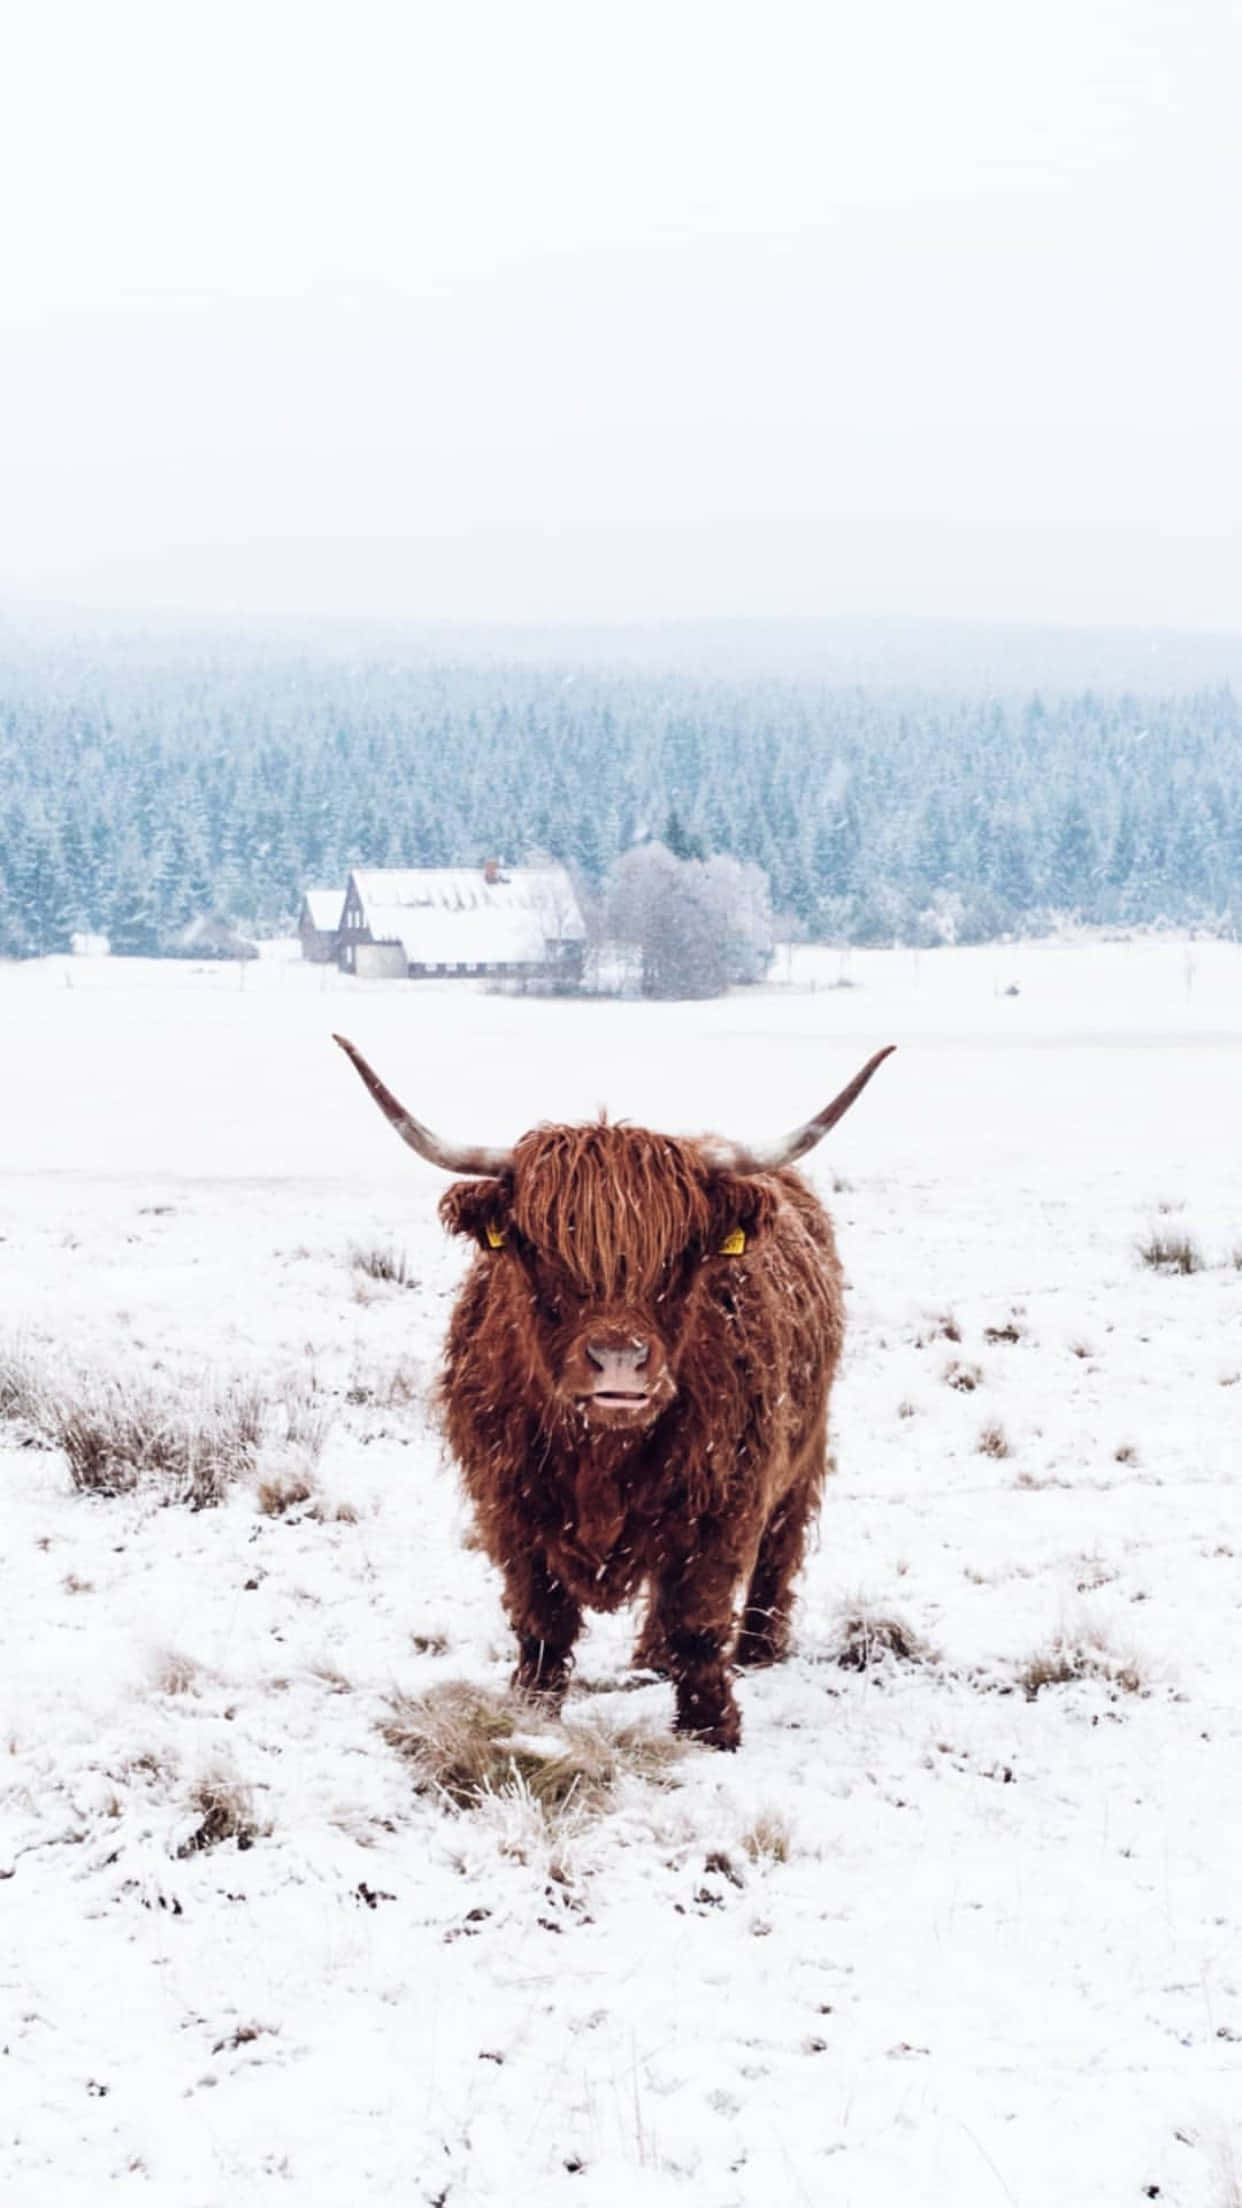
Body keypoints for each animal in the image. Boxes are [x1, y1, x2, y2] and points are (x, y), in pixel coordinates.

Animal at [334, 1034, 895, 1749]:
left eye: (682, 1256)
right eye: (542, 1251)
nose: (621, 1362)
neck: (601, 1454)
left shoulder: (725, 1497)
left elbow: (698, 1616)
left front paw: (711, 1728)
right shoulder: (508, 1501)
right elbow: (542, 1621)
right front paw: (531, 1714)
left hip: (805, 1445)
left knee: (779, 1547)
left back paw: (758, 1647)